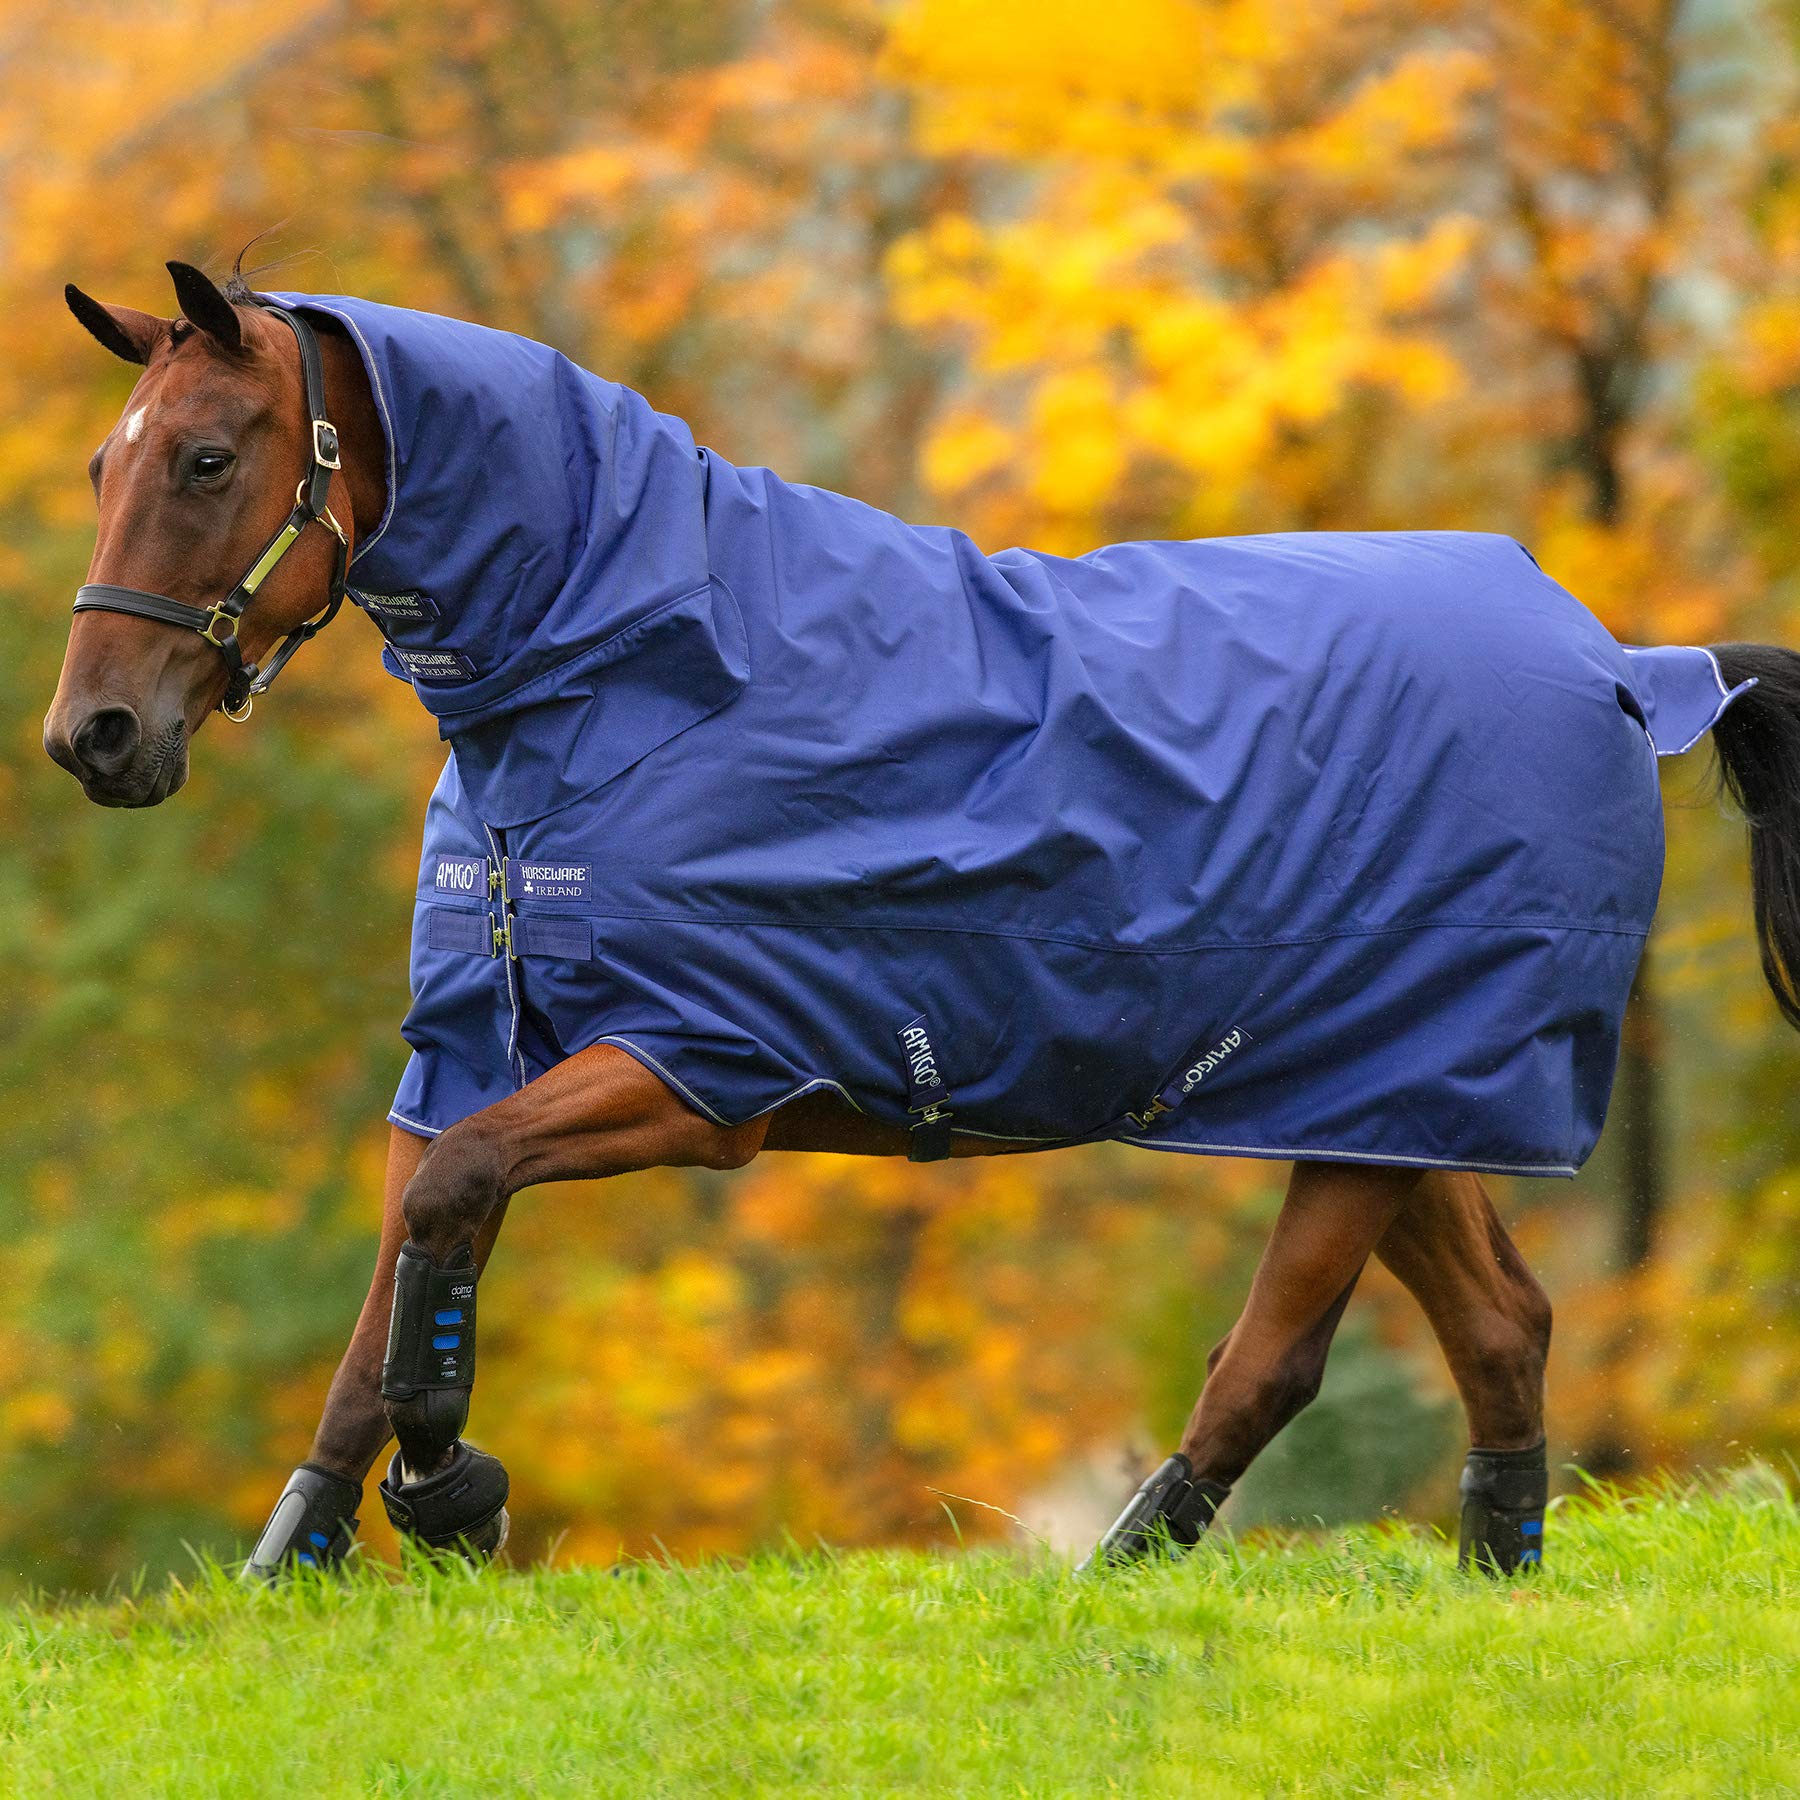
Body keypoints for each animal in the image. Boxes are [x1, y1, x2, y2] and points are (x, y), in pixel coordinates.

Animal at [43, 260, 1800, 1577]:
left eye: (208, 459)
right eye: (103, 464)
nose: (94, 737)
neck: (630, 680)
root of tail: (1625, 662)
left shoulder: (698, 1069)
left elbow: (457, 1208)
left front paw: (451, 1490)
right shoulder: (466, 1050)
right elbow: (387, 1292)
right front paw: (304, 1557)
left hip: (1388, 1091)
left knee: (1280, 1351)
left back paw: (1124, 1576)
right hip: (1385, 1094)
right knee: (1501, 1324)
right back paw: (1486, 1573)